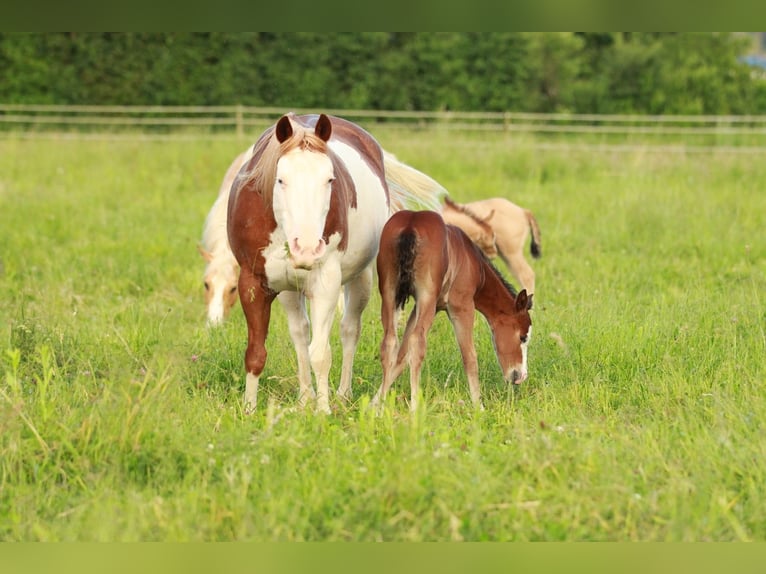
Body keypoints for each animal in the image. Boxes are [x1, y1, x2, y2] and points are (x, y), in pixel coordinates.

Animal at [227, 113, 446, 414]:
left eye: (329, 179)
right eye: (281, 180)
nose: (307, 249)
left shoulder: (326, 284)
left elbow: (321, 353)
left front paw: (323, 411)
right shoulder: (253, 284)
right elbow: (256, 352)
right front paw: (249, 410)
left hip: (360, 279)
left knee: (349, 330)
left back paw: (342, 394)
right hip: (289, 289)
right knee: (300, 333)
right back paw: (304, 397)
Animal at [372, 209, 533, 412]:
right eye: (523, 337)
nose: (520, 376)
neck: (473, 262)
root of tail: (411, 225)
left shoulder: (422, 308)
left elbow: (401, 355)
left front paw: (375, 403)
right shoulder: (461, 306)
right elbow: (469, 356)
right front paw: (479, 406)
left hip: (390, 293)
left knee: (389, 342)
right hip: (426, 297)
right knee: (418, 342)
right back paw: (415, 407)